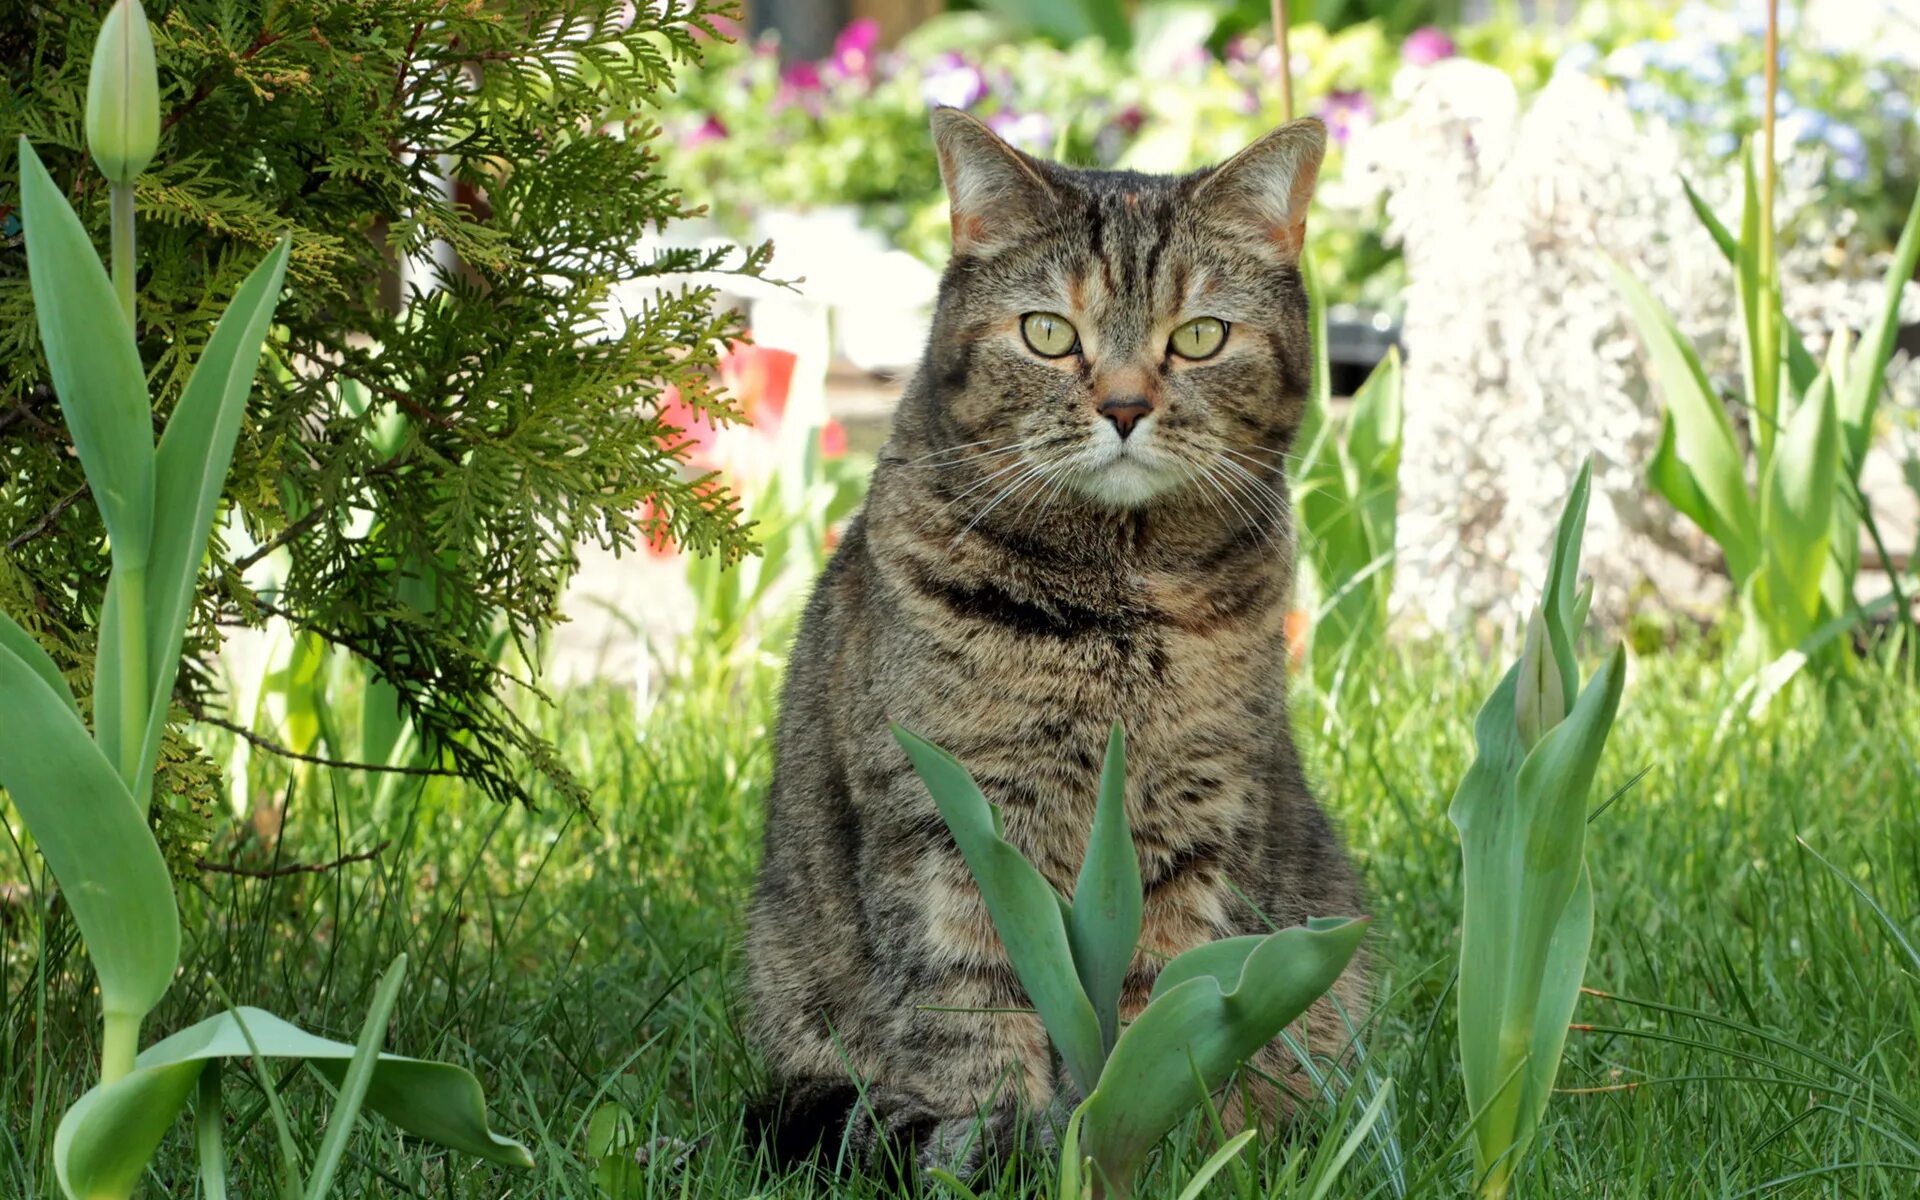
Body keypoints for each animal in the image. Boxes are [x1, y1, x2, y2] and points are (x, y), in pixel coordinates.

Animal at [744, 107, 1367, 1175]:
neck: (1110, 601)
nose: (1123, 406)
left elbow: (1163, 1006)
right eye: (1047, 333)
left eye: (1199, 337)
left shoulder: (1195, 822)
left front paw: (1152, 1143)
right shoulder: (948, 824)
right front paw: (998, 1146)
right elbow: (973, 1006)